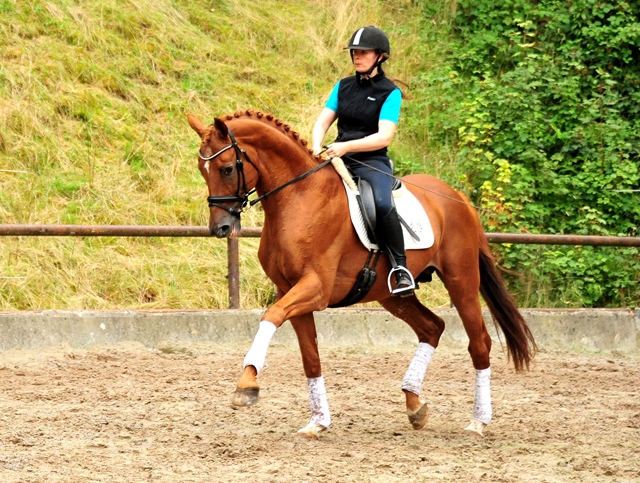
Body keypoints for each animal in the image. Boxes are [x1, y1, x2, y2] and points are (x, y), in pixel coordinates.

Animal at [189, 109, 536, 438]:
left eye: (227, 168)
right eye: (201, 170)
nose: (220, 228)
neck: (299, 197)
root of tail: (458, 197)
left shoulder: (315, 289)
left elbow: (270, 316)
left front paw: (247, 384)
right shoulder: (288, 289)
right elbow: (310, 357)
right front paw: (318, 422)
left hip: (460, 280)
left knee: (479, 342)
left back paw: (478, 421)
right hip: (392, 294)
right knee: (432, 327)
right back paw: (415, 405)